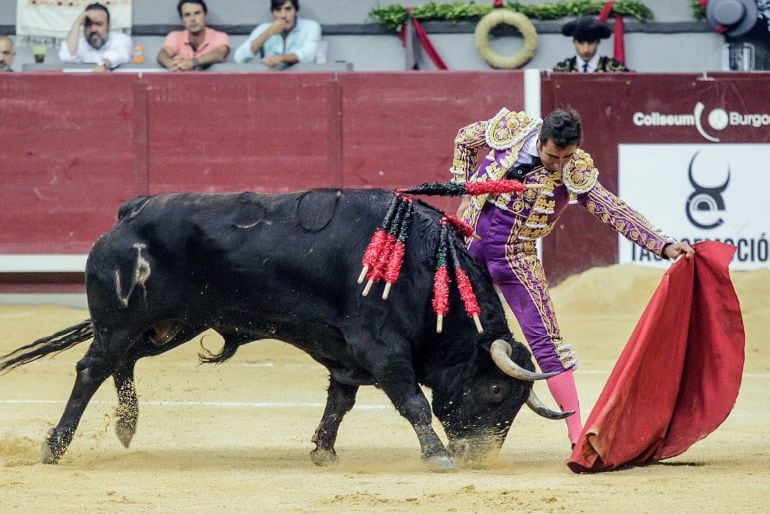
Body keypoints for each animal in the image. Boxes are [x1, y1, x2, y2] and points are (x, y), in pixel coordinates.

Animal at [0, 189, 564, 468]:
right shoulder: (381, 349)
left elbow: (340, 402)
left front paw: (323, 452)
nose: (480, 458)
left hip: (169, 325)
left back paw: (126, 426)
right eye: (496, 391)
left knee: (123, 363)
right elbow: (413, 402)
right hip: (122, 321)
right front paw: (438, 456)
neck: (427, 272)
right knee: (91, 369)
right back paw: (55, 447)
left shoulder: (347, 354)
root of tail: (129, 213)